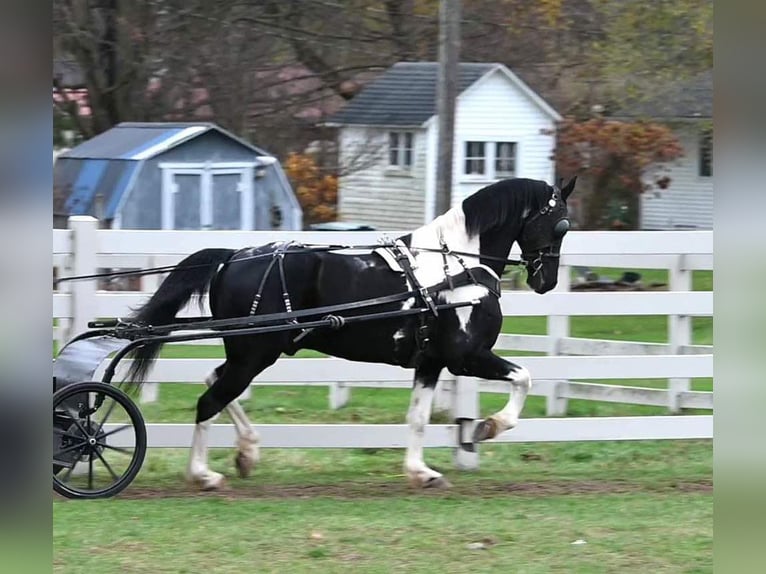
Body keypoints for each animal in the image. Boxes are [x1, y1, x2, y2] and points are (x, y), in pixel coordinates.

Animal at [126, 176, 576, 490]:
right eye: (561, 226)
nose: (546, 282)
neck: (457, 268)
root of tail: (233, 255)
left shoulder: (431, 362)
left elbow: (417, 418)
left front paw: (421, 472)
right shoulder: (466, 357)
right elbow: (523, 377)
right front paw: (489, 426)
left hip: (247, 353)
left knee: (214, 383)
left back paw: (247, 451)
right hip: (254, 353)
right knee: (210, 400)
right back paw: (203, 474)